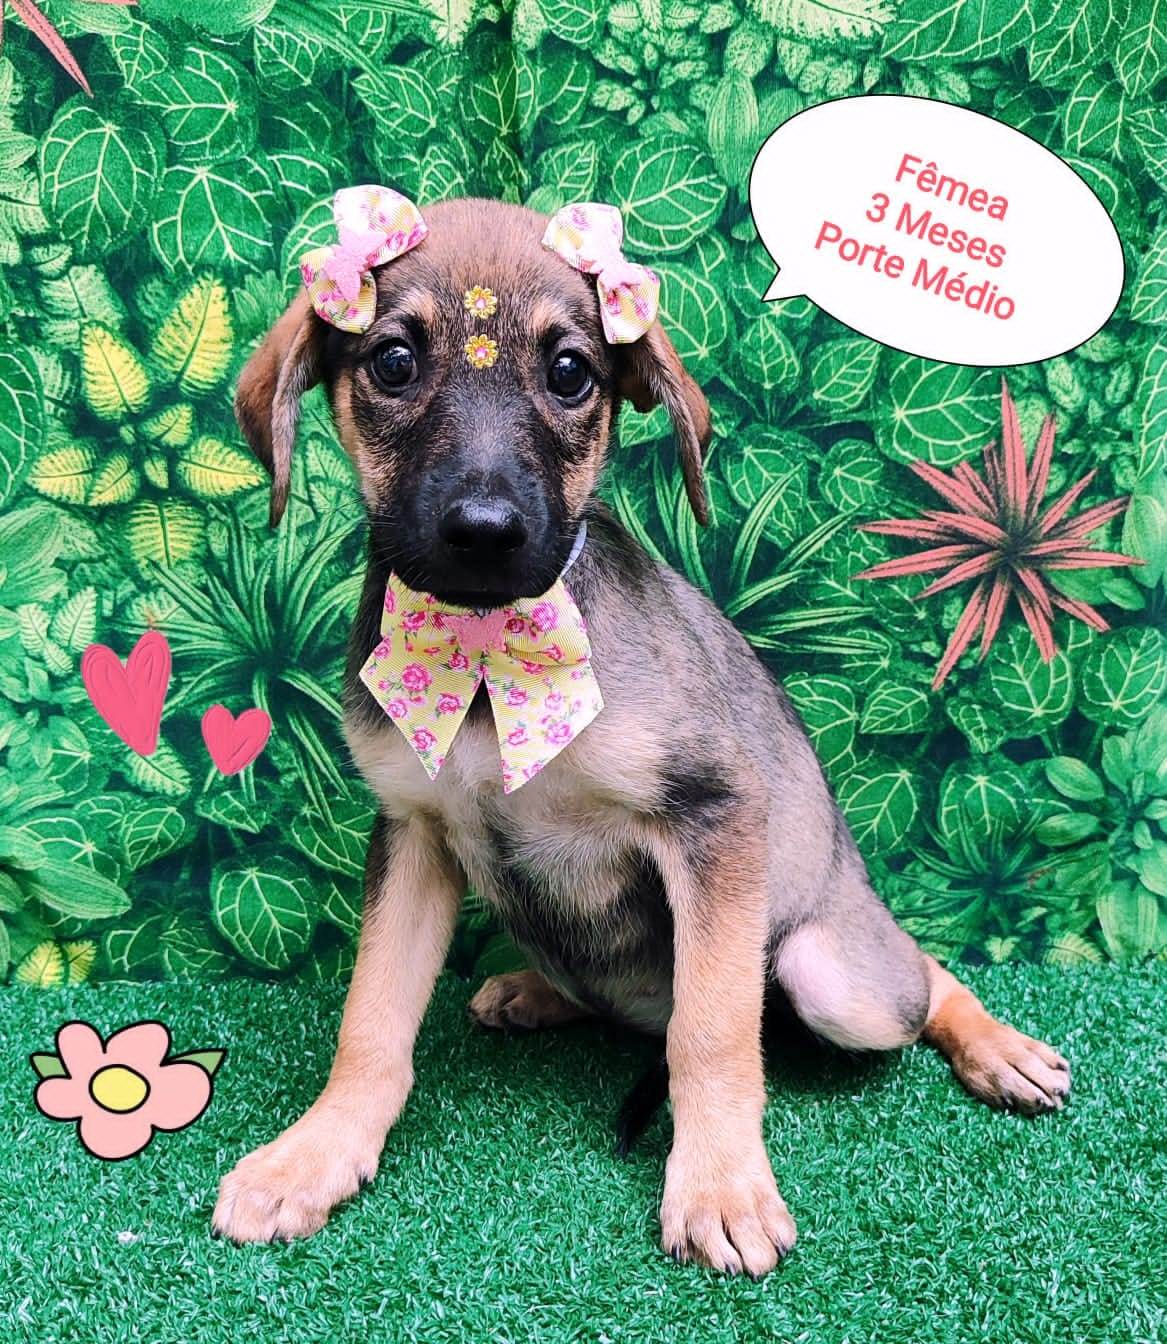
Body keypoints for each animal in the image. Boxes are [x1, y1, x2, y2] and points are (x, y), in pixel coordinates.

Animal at [211, 196, 1070, 1275]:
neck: (488, 649)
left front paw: (721, 1186)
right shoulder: (410, 834)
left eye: (571, 373)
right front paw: (313, 1157)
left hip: (831, 972)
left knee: (904, 976)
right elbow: (371, 1020)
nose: (484, 532)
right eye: (393, 363)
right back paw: (528, 992)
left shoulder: (713, 820)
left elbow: (712, 1031)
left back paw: (997, 1046)